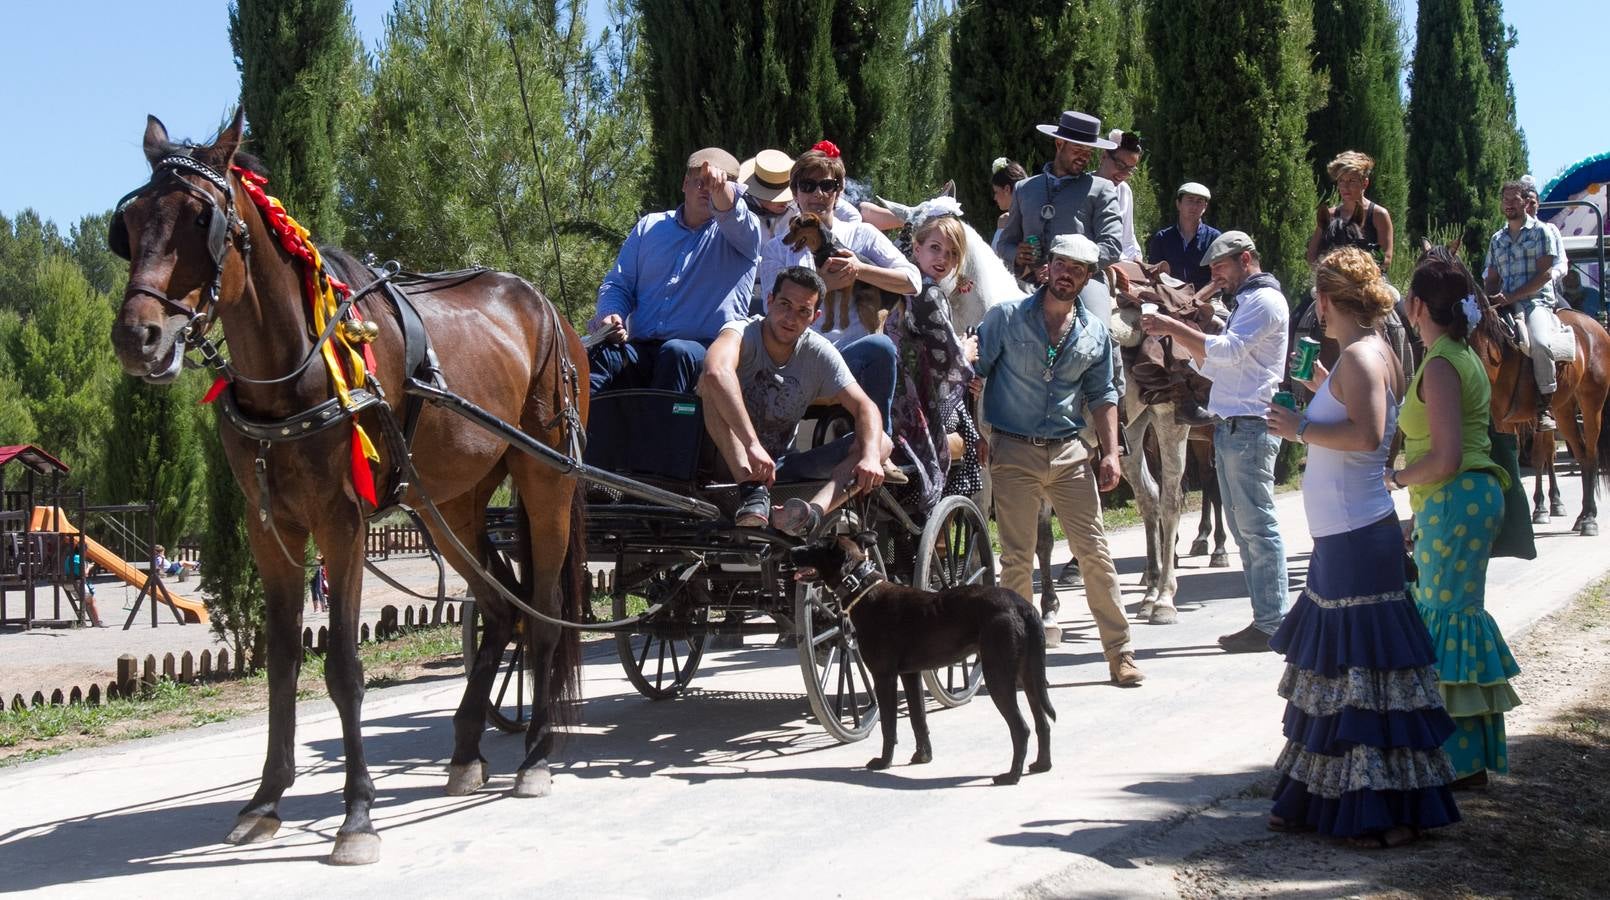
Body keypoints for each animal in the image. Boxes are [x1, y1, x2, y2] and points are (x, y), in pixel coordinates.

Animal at [107, 112, 589, 869]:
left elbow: (342, 669)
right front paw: (266, 801)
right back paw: (466, 749)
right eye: (129, 223)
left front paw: (357, 815)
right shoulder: (270, 528)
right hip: (446, 504)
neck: (299, 364)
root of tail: (551, 312)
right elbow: (280, 664)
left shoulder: (342, 522)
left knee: (540, 612)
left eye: (200, 218)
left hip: (547, 480)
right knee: (499, 606)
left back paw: (537, 756)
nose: (138, 337)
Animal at [792, 531, 1056, 785]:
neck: (862, 589)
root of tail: (1023, 606)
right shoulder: (910, 674)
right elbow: (918, 718)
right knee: (1042, 722)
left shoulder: (884, 677)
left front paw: (884, 762)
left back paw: (1011, 776)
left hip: (997, 674)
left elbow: (889, 725)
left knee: (1021, 728)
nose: (792, 549)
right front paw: (923, 756)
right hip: (1029, 675)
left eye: (815, 546)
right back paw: (1041, 766)